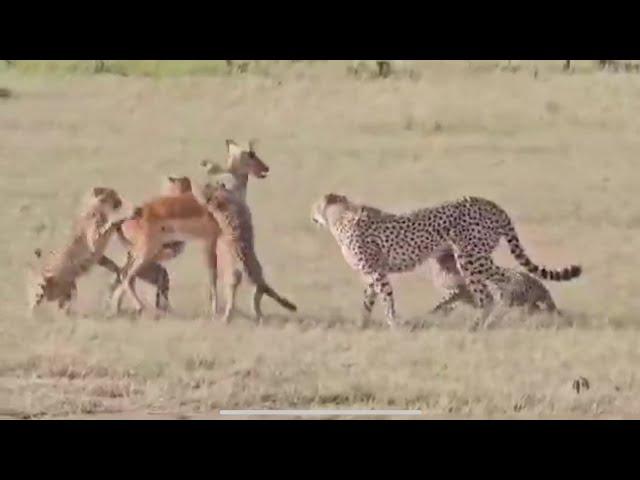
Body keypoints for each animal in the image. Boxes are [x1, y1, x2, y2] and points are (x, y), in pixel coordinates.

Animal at [312, 193, 584, 328]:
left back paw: (481, 323)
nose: (311, 215)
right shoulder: (374, 272)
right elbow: (368, 300)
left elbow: (387, 300)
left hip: (470, 257)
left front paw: (394, 324)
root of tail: (490, 204)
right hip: (474, 257)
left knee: (494, 288)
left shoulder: (377, 272)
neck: (340, 215)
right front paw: (363, 324)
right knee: (499, 283)